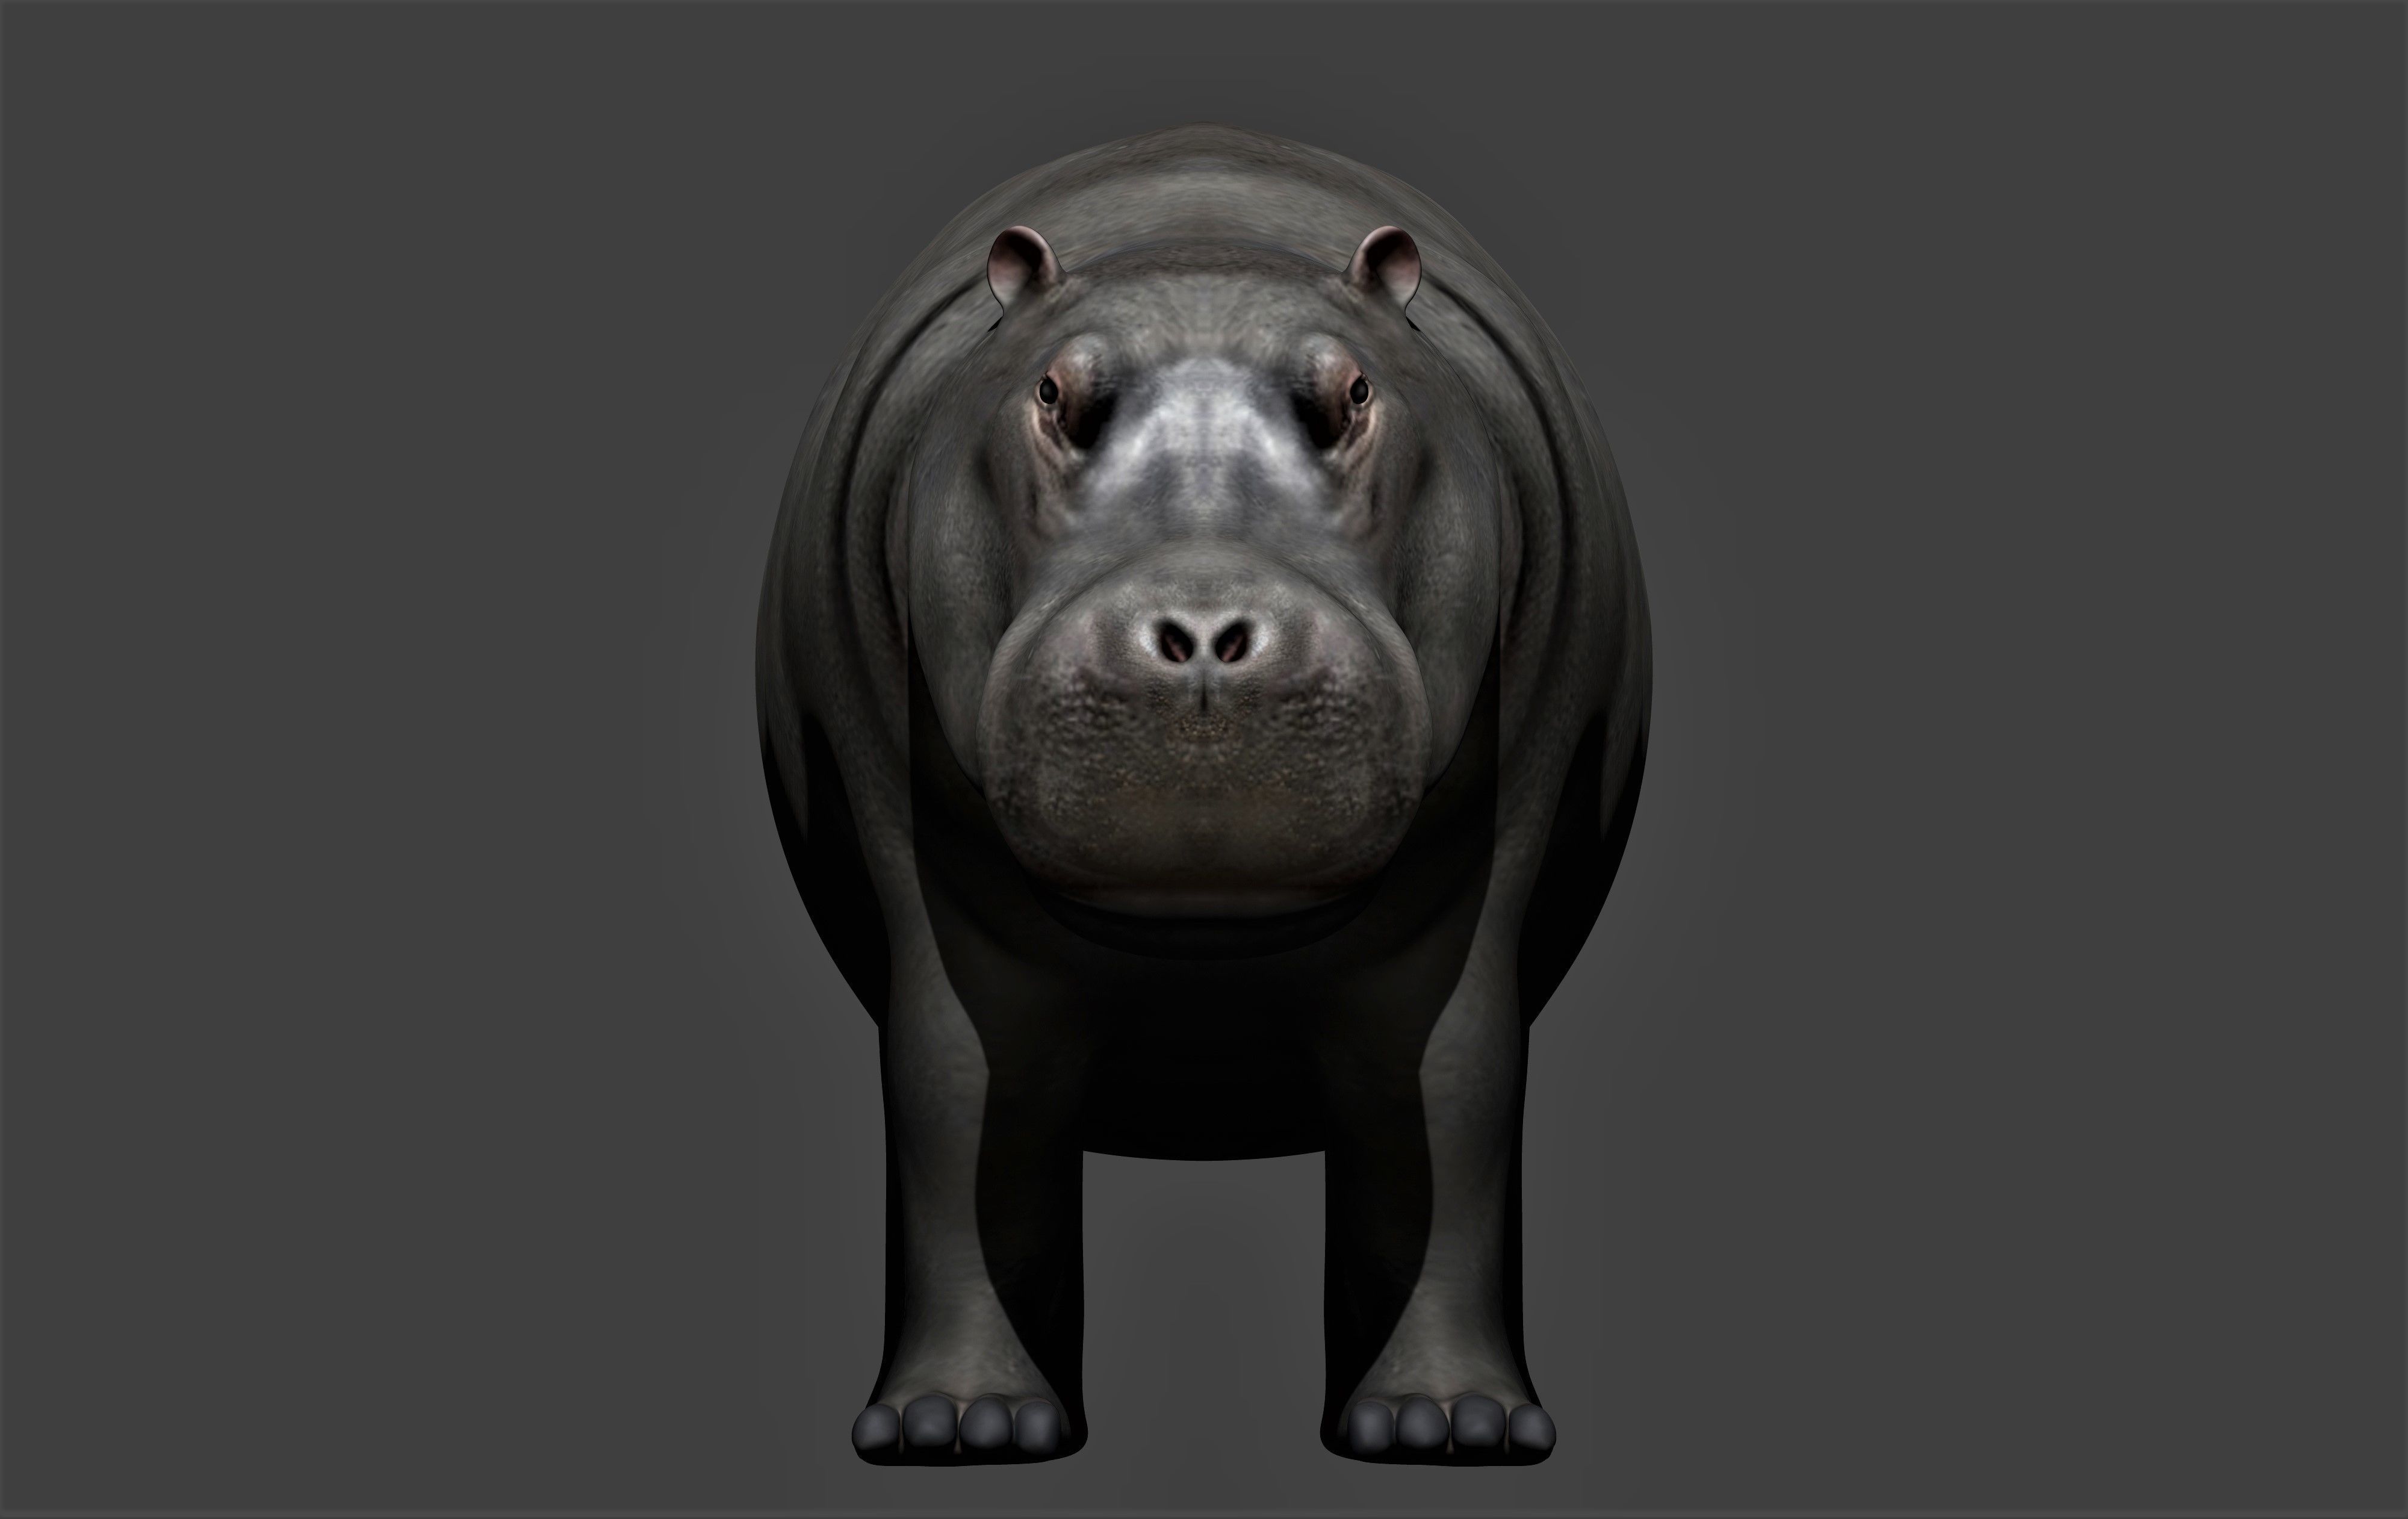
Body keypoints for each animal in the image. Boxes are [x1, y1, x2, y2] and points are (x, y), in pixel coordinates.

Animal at [756, 123, 1650, 1466]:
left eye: (1356, 393)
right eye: (1051, 393)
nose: (1204, 630)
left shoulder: (1477, 882)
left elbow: (1448, 1096)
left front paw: (1449, 1423)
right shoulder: (929, 881)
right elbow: (959, 1097)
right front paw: (958, 1424)